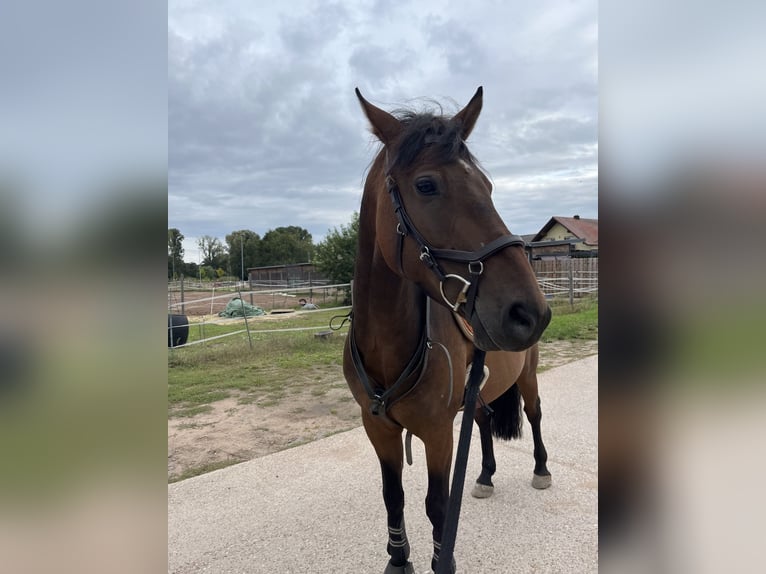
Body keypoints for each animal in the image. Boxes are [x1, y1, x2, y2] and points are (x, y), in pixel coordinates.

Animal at [346, 86, 552, 574]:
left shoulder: (437, 432)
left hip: (528, 376)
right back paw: (485, 476)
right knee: (483, 420)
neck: (388, 346)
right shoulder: (376, 427)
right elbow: (394, 497)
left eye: (488, 187)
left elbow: (438, 506)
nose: (530, 312)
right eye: (426, 185)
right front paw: (398, 559)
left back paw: (540, 470)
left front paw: (443, 559)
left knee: (534, 415)